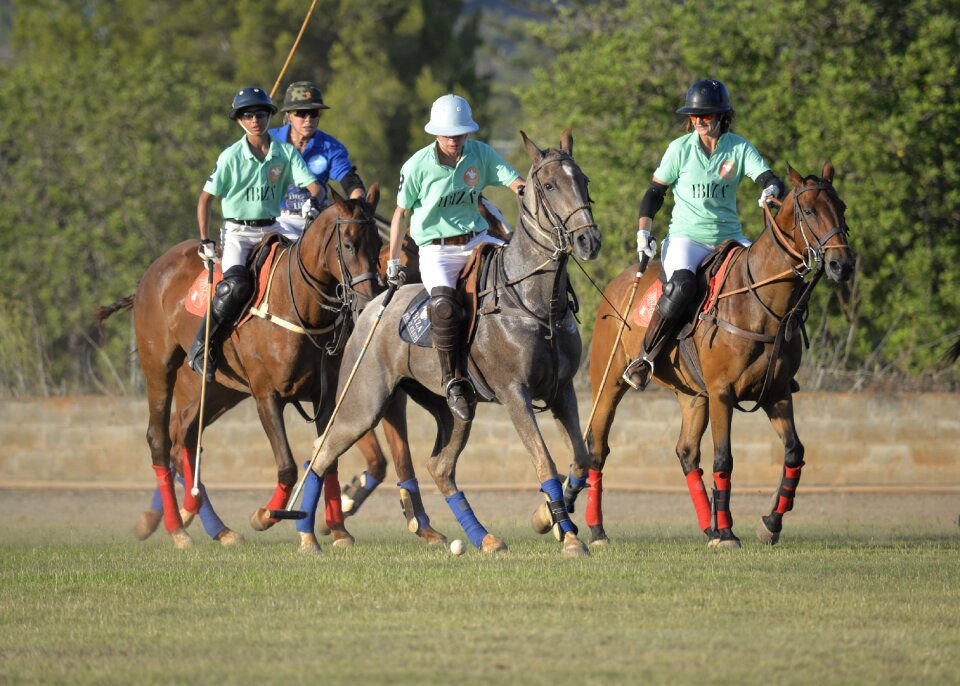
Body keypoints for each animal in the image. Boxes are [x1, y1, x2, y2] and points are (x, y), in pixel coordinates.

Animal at [94, 185, 442, 552]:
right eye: (348, 244)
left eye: (377, 245)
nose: (371, 304)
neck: (299, 305)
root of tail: (148, 275)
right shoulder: (268, 395)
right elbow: (290, 466)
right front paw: (268, 516)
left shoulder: (327, 396)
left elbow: (334, 459)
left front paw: (341, 530)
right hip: (160, 367)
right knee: (160, 438)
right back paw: (177, 528)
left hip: (219, 389)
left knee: (184, 439)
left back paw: (214, 526)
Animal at [298, 130, 600, 560]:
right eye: (548, 185)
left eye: (584, 180)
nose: (589, 240)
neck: (535, 301)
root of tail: (372, 304)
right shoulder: (515, 393)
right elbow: (545, 461)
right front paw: (570, 536)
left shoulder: (562, 391)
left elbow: (579, 458)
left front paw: (546, 518)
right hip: (363, 402)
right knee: (321, 453)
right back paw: (307, 537)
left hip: (453, 410)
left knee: (440, 468)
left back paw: (484, 537)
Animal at [568, 161, 852, 548]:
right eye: (808, 211)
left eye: (842, 208)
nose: (843, 265)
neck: (761, 303)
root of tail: (621, 280)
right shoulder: (722, 392)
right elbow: (724, 459)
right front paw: (730, 532)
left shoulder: (776, 392)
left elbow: (795, 451)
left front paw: (769, 523)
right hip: (608, 378)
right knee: (597, 445)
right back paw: (597, 529)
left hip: (692, 395)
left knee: (687, 452)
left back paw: (709, 526)